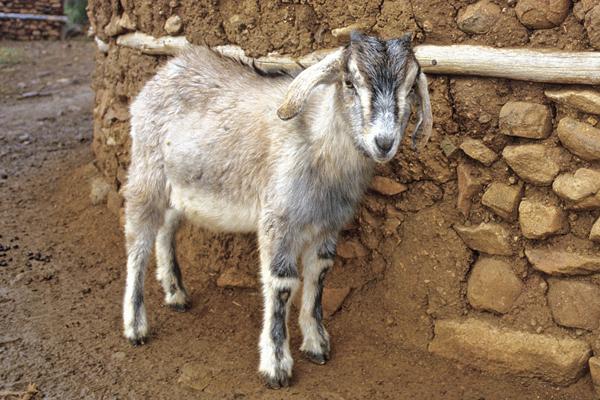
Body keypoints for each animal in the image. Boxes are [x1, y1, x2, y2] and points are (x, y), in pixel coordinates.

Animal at [122, 31, 432, 388]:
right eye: (349, 82)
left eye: (410, 86)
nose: (384, 142)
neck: (318, 146)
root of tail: (165, 72)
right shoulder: (279, 219)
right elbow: (282, 284)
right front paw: (277, 366)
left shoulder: (328, 225)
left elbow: (319, 275)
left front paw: (317, 344)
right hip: (147, 172)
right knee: (138, 243)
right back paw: (135, 326)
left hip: (179, 185)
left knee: (165, 228)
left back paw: (175, 293)